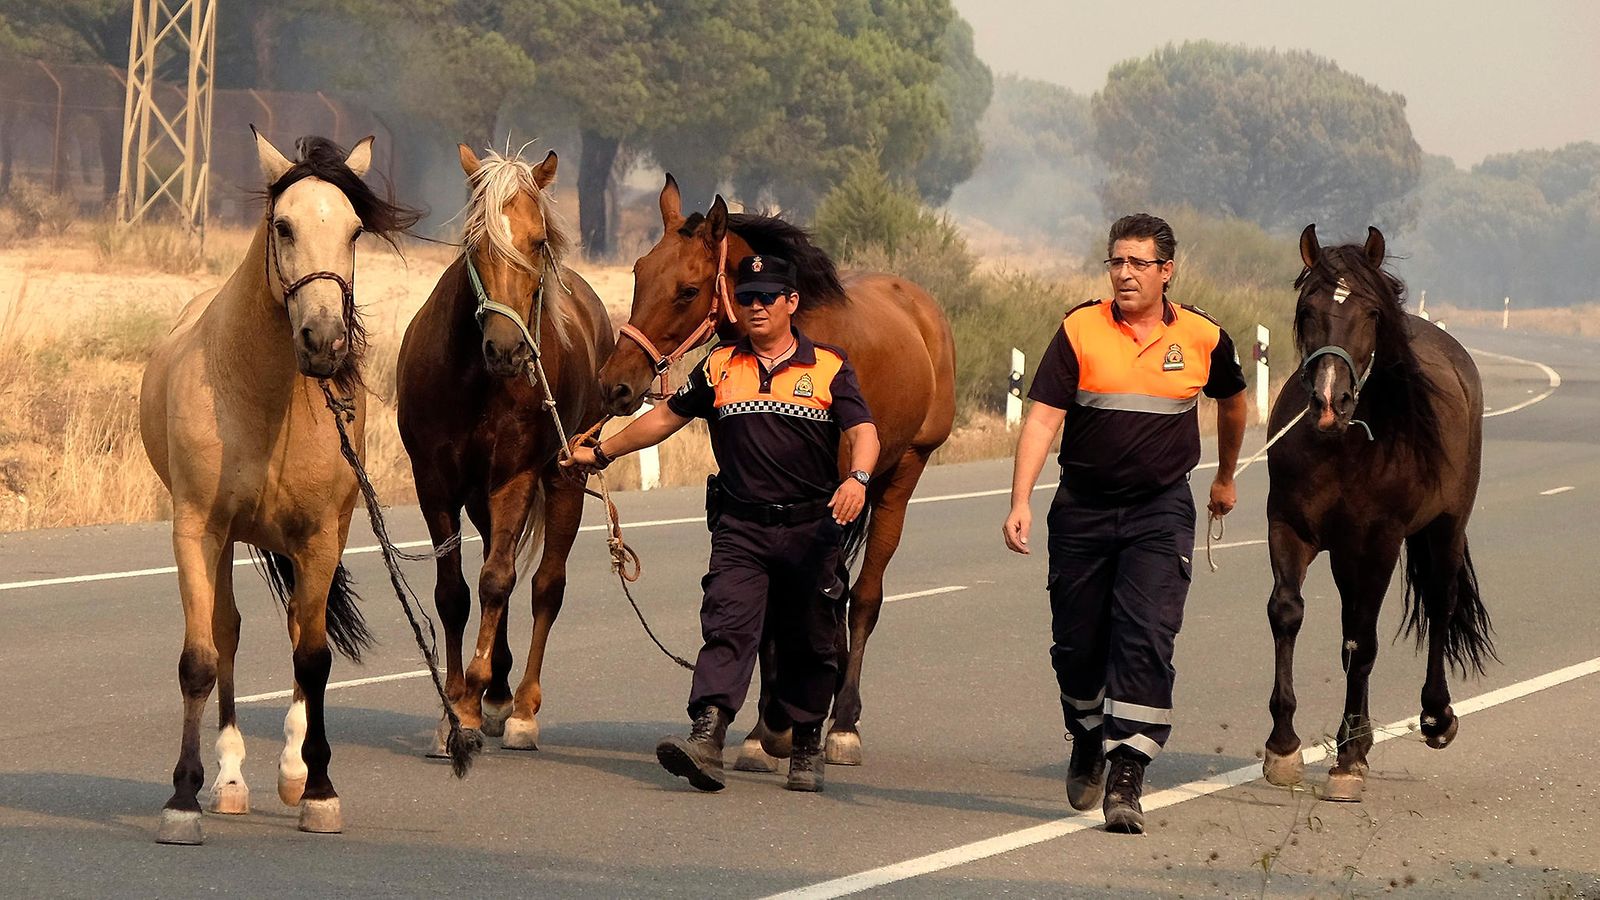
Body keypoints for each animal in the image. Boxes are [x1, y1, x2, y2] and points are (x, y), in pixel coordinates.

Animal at [139, 128, 432, 839]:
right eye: (284, 225)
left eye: (355, 230)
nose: (323, 340)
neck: (263, 398)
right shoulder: (197, 527)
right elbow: (201, 658)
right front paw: (183, 799)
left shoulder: (321, 537)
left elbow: (314, 658)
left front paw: (319, 790)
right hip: (223, 541)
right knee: (227, 632)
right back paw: (231, 780)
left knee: (302, 629)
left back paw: (294, 771)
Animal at [393, 143, 611, 752]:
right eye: (476, 242)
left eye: (538, 241)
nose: (508, 349)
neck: (476, 380)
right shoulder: (435, 483)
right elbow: (454, 592)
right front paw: (457, 705)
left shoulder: (515, 478)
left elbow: (497, 582)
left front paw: (469, 705)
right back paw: (497, 693)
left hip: (566, 478)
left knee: (542, 586)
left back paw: (521, 710)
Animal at [598, 175, 947, 762]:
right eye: (639, 274)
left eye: (687, 290)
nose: (615, 385)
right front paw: (766, 729)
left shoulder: (832, 497)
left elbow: (818, 600)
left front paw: (790, 721)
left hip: (903, 473)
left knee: (863, 598)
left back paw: (843, 721)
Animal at [1260, 224, 1497, 797]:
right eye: (1307, 308)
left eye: (1370, 312)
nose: (1329, 402)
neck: (1342, 446)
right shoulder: (1289, 528)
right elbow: (1287, 613)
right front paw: (1283, 746)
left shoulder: (1377, 543)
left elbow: (1361, 642)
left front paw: (1348, 760)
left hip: (1445, 527)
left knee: (1440, 604)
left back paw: (1436, 718)